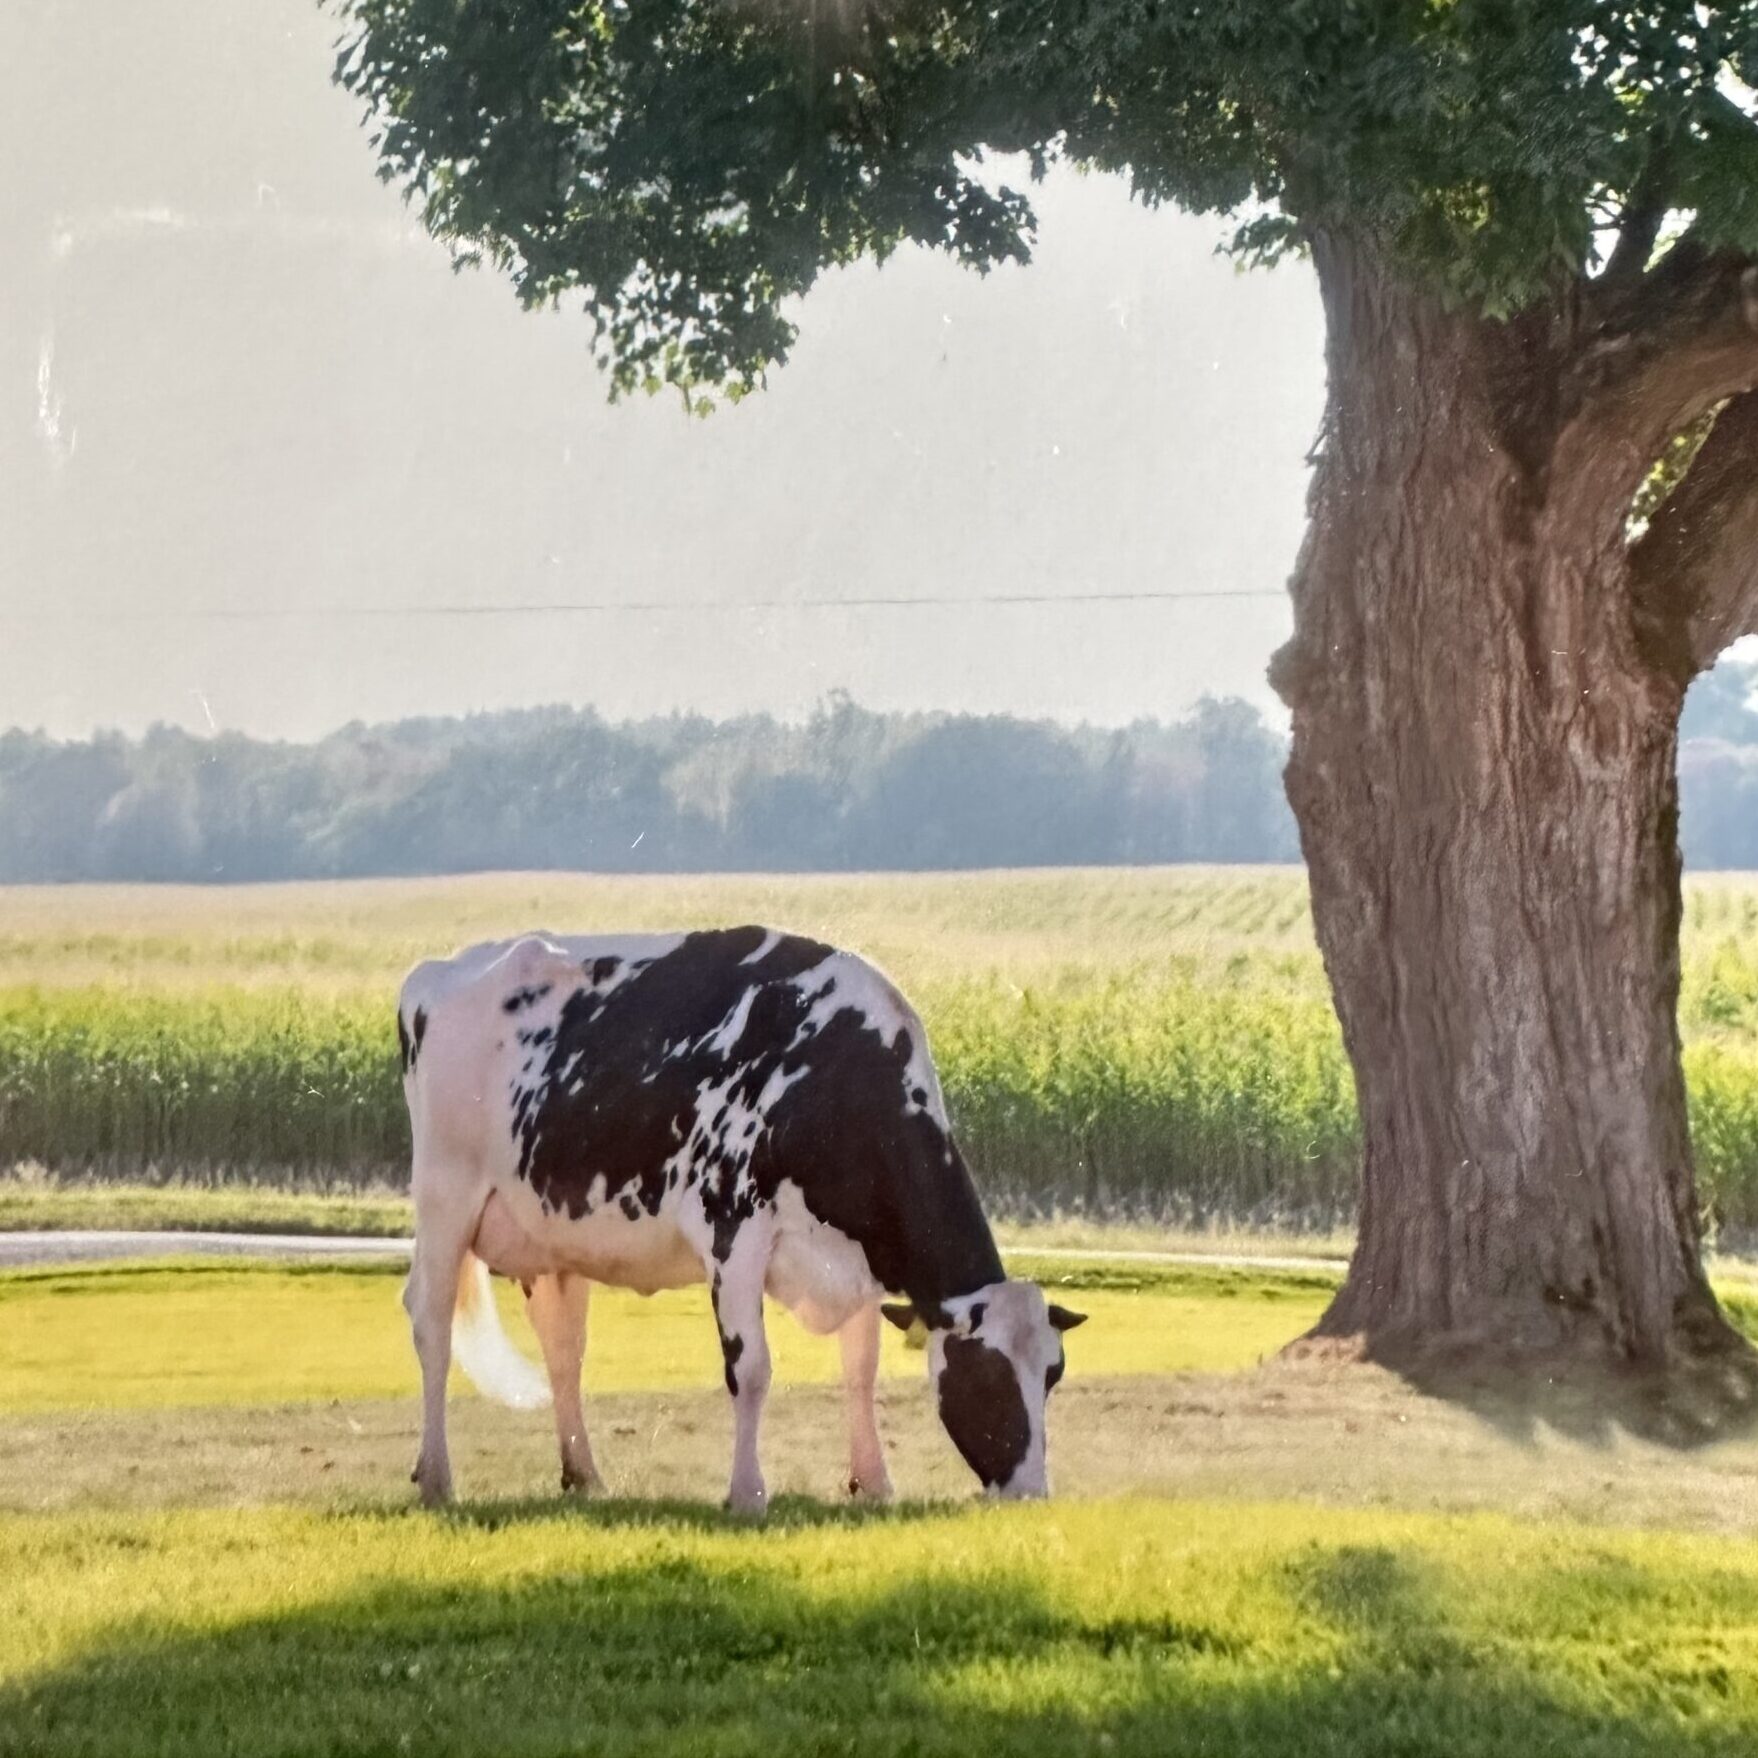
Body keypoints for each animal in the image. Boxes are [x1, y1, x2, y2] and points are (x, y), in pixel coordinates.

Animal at [396, 925, 1085, 1512]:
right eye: (989, 1379)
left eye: (1051, 1374)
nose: (1032, 1493)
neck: (831, 1076)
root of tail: (436, 971)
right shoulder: (732, 1231)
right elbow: (750, 1370)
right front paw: (748, 1492)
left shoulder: (857, 1255)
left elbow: (860, 1369)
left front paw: (874, 1482)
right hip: (445, 1196)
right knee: (431, 1324)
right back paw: (436, 1478)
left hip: (553, 1236)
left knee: (563, 1349)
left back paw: (584, 1475)